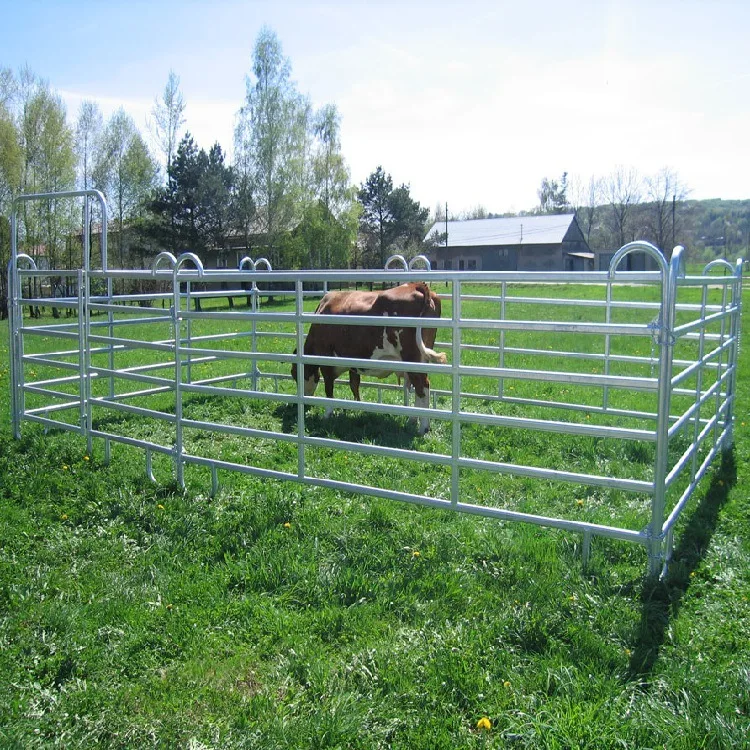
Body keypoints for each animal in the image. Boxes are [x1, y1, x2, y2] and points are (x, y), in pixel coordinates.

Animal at [291, 282, 447, 434]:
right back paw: (412, 421)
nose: (300, 402)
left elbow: (329, 389)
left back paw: (423, 428)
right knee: (418, 387)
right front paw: (357, 406)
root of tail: (415, 285)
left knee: (422, 387)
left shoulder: (326, 361)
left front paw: (327, 414)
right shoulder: (353, 363)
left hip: (412, 360)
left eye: (294, 374)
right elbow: (354, 385)